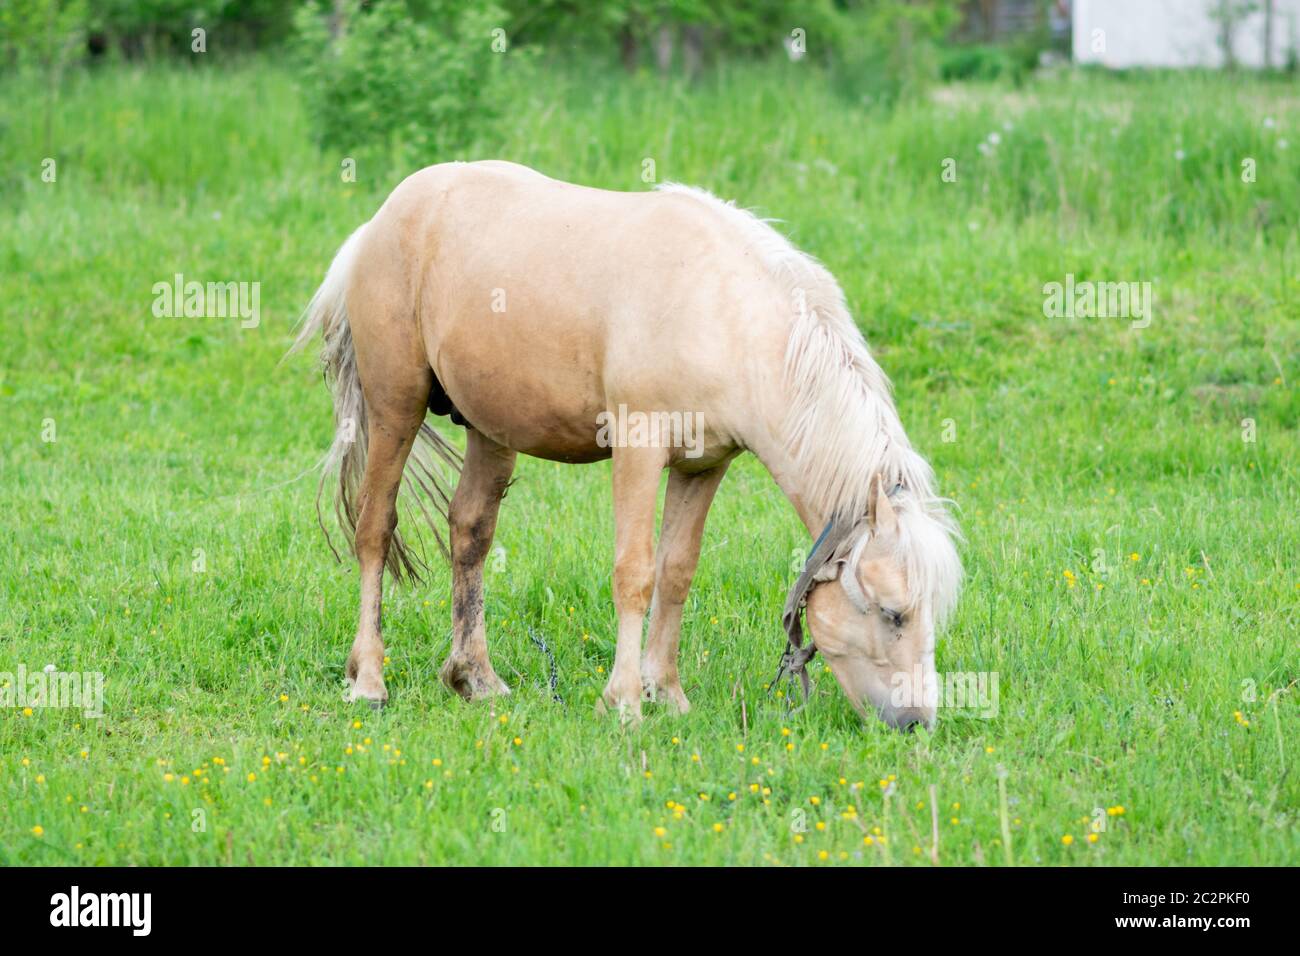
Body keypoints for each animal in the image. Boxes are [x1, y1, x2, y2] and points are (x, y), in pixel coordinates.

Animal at [292, 160, 961, 730]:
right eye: (893, 612)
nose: (916, 723)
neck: (723, 312)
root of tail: (382, 220)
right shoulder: (639, 449)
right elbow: (634, 572)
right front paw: (625, 703)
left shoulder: (704, 467)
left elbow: (676, 572)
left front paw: (667, 694)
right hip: (394, 407)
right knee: (374, 528)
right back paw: (369, 681)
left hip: (490, 429)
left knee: (470, 533)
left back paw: (475, 678)